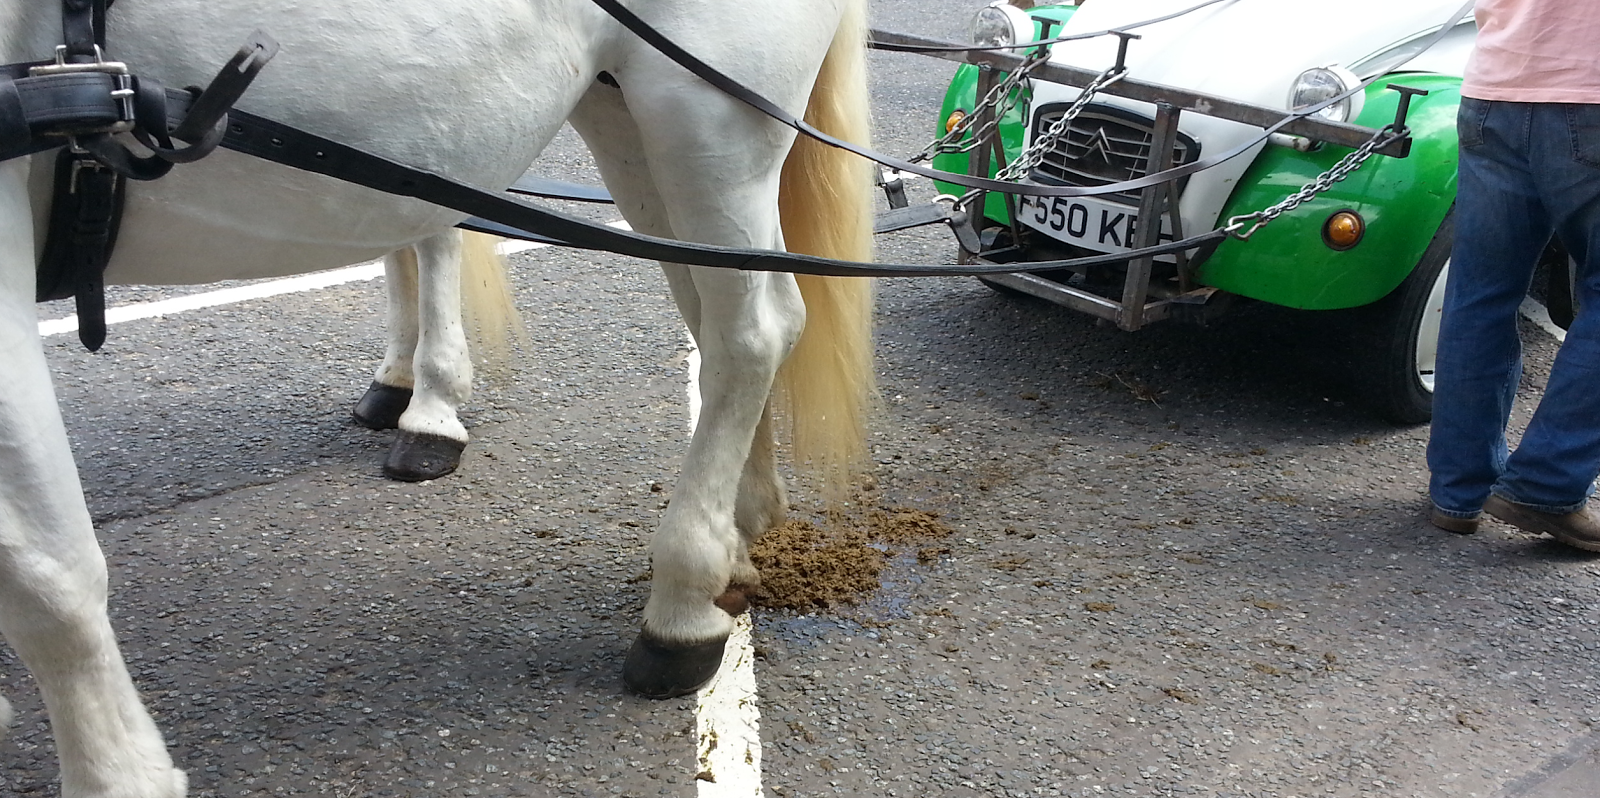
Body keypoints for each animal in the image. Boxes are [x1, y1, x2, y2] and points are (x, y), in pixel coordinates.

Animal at [0, 0, 875, 794]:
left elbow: (49, 575)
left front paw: (118, 774)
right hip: (625, 107)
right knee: (712, 306)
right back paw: (741, 528)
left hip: (710, 110)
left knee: (752, 330)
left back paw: (682, 603)